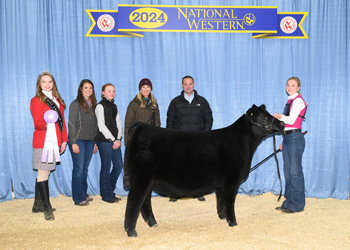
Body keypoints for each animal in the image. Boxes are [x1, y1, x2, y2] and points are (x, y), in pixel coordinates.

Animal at [123, 104, 284, 237]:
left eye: (268, 113)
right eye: (263, 117)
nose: (282, 123)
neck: (243, 142)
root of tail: (140, 126)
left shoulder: (221, 183)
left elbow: (220, 200)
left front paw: (222, 217)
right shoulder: (232, 180)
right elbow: (229, 201)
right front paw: (233, 222)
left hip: (147, 181)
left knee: (145, 202)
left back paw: (152, 223)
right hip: (140, 179)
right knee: (134, 202)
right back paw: (131, 231)